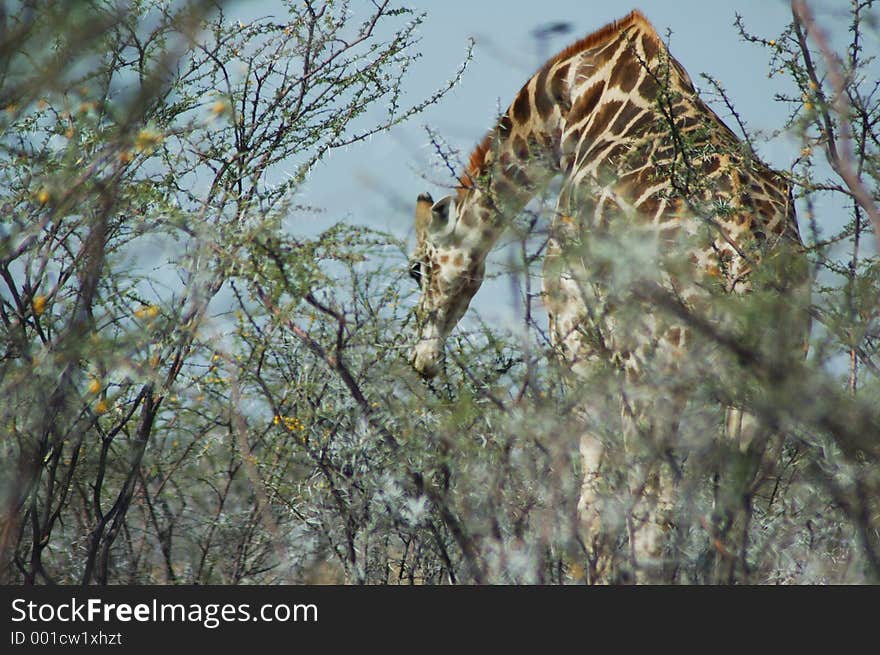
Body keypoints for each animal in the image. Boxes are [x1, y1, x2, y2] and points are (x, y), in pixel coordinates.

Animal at [410, 10, 808, 584]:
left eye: (415, 270)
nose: (421, 361)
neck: (567, 101)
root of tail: (743, 253)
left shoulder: (578, 336)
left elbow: (593, 506)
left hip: (656, 379)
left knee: (654, 516)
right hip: (767, 393)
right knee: (732, 524)